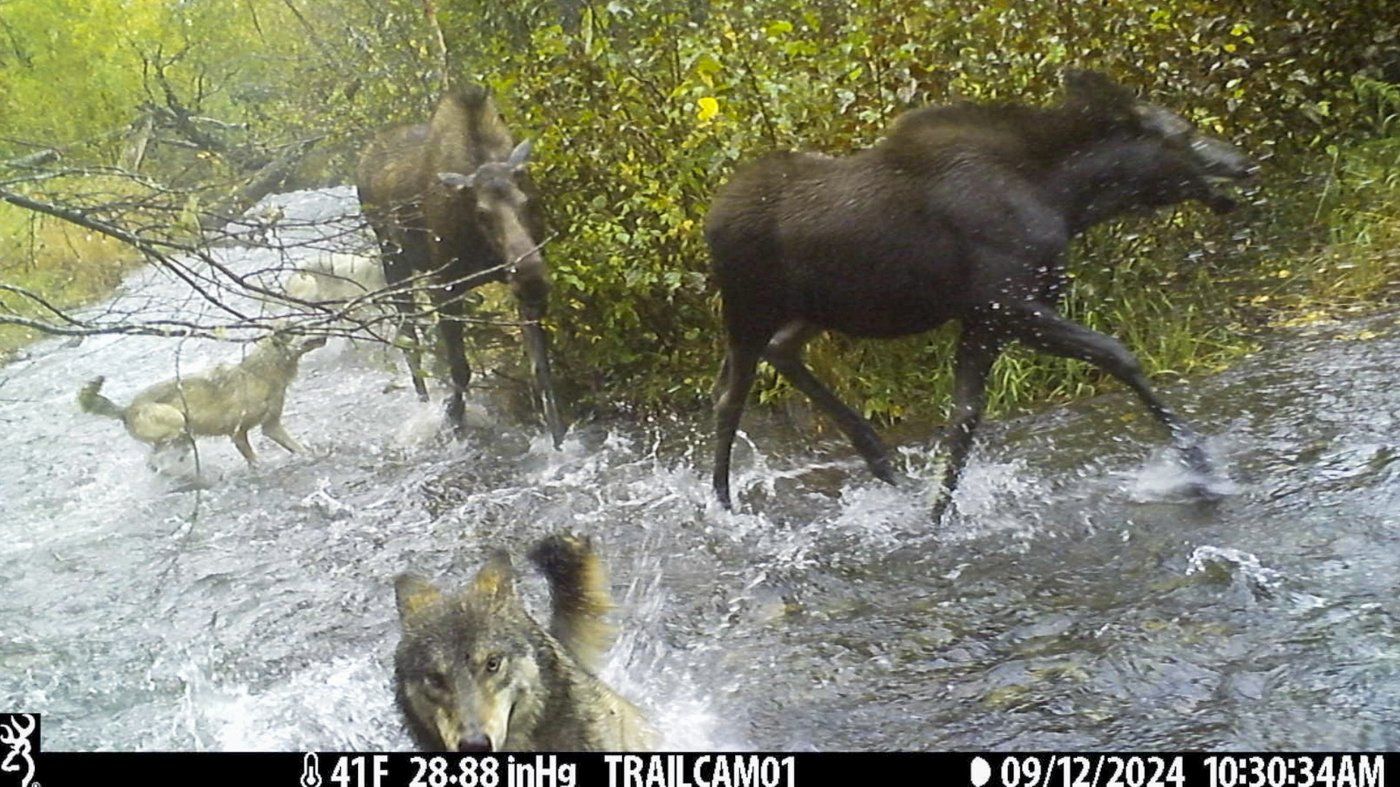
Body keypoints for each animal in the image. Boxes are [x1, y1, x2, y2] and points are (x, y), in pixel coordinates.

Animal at [78, 330, 324, 464]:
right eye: (302, 330)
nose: (325, 330)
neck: (261, 373)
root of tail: (126, 409)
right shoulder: (237, 433)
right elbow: (253, 459)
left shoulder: (271, 426)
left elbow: (297, 447)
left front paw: (311, 456)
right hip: (177, 422)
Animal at [358, 84, 565, 448]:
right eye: (482, 213)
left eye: (528, 202)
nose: (533, 280)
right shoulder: (445, 286)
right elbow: (459, 368)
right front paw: (452, 419)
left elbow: (541, 369)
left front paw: (558, 442)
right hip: (392, 258)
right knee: (409, 339)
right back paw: (424, 405)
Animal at [711, 68, 1260, 520]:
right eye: (1184, 133)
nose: (1244, 162)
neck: (1067, 200)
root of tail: (710, 219)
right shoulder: (1010, 305)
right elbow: (1118, 354)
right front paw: (1200, 468)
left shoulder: (985, 318)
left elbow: (964, 421)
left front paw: (937, 516)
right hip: (748, 308)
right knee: (729, 397)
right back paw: (724, 504)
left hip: (815, 310)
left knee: (782, 352)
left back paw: (879, 456)